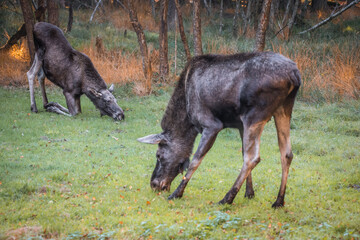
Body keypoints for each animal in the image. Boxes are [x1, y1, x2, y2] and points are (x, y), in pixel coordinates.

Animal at [138, 51, 300, 207]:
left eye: (158, 155)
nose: (154, 184)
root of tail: (295, 75)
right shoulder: (239, 125)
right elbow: (242, 153)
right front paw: (249, 193)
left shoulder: (211, 125)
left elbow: (195, 160)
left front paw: (177, 193)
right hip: (283, 109)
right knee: (286, 154)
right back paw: (279, 201)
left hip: (255, 115)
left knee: (253, 158)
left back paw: (226, 199)